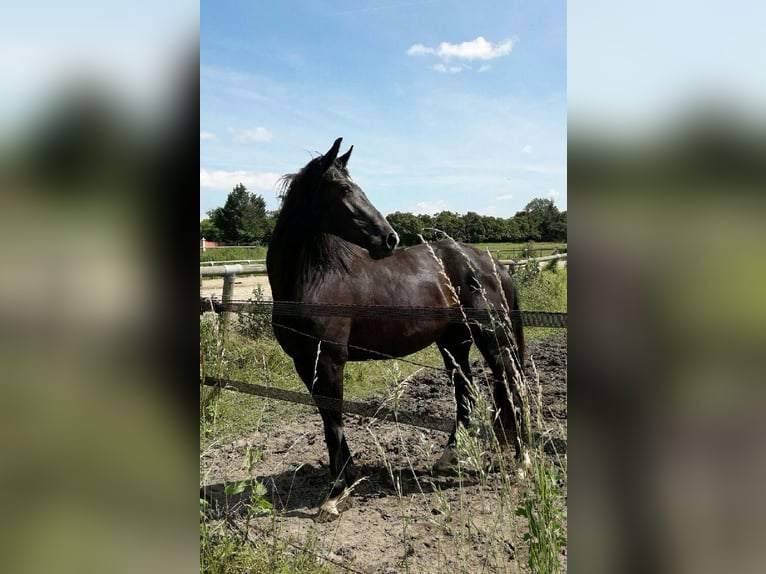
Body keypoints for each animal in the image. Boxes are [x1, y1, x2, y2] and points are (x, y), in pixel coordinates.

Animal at [268, 141, 528, 520]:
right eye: (343, 189)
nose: (390, 239)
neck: (315, 279)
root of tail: (492, 263)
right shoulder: (304, 363)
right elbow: (328, 417)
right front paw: (347, 480)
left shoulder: (328, 360)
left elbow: (333, 421)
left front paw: (336, 493)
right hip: (454, 343)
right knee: (465, 393)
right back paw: (448, 459)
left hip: (492, 338)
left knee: (511, 386)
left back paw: (522, 463)